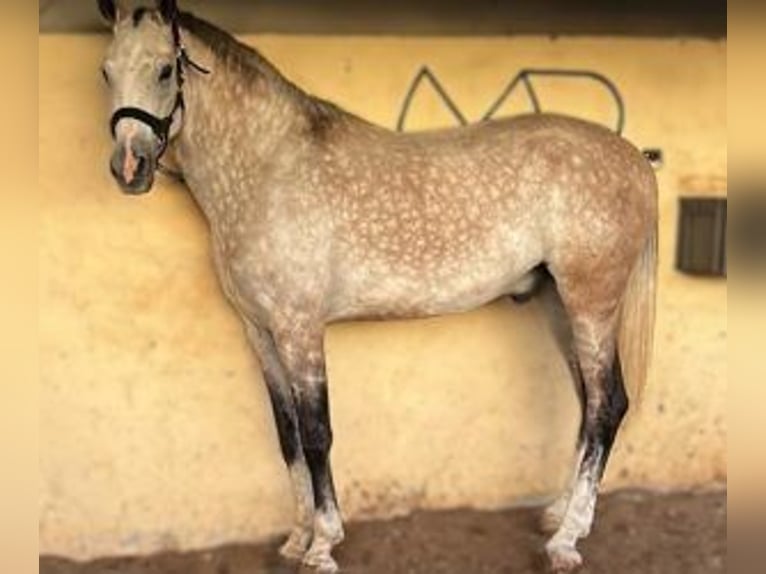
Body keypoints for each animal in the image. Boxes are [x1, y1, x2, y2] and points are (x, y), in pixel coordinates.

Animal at [96, 2, 660, 572]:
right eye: (106, 71)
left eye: (164, 70)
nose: (129, 168)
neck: (269, 169)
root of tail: (633, 157)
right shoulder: (260, 331)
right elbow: (287, 435)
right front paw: (295, 538)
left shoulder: (300, 329)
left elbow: (317, 433)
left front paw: (323, 545)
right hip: (558, 303)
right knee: (588, 402)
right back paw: (558, 514)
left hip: (591, 303)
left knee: (608, 405)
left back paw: (567, 540)